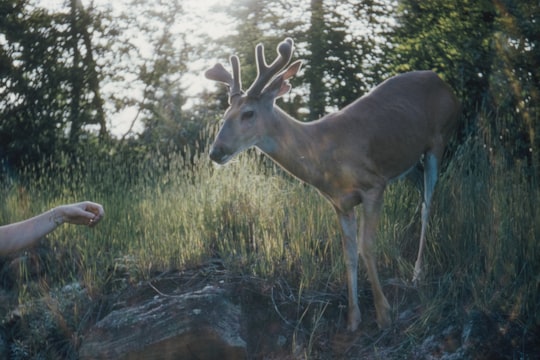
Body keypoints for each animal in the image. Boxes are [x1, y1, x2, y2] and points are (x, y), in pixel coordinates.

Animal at [205, 37, 458, 332]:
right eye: (225, 113)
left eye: (248, 113)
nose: (216, 151)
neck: (322, 154)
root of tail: (442, 82)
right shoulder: (340, 203)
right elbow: (349, 253)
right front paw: (353, 318)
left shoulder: (374, 185)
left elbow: (366, 246)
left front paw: (384, 314)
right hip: (408, 161)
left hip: (439, 139)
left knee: (427, 204)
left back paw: (418, 274)